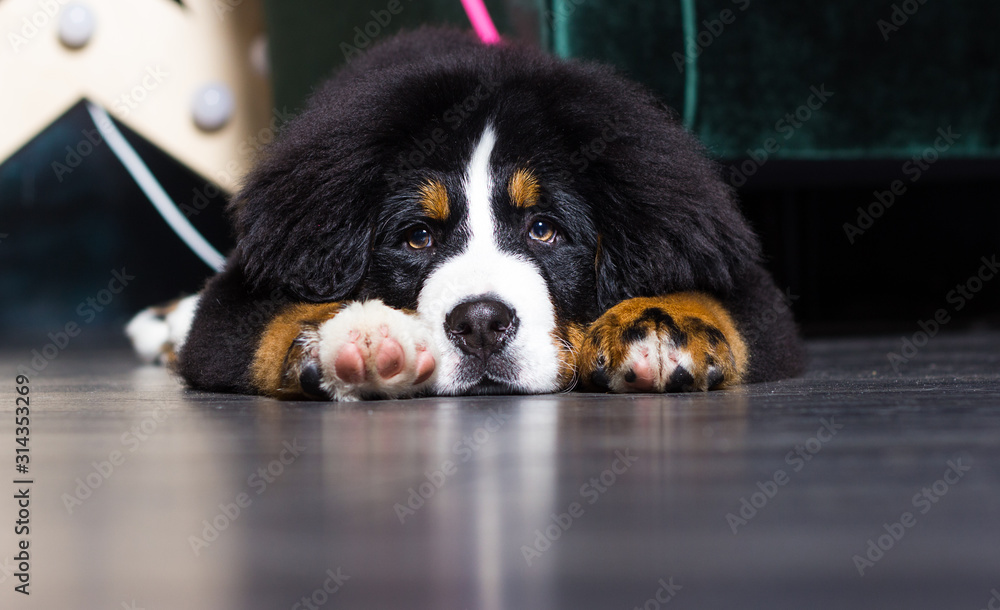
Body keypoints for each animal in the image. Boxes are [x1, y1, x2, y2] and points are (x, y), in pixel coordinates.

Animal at [129, 27, 808, 400]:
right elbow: (272, 319)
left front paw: (661, 325)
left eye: (544, 230)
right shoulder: (235, 306)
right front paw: (357, 336)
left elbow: (714, 301)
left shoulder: (749, 292)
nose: (481, 324)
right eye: (417, 238)